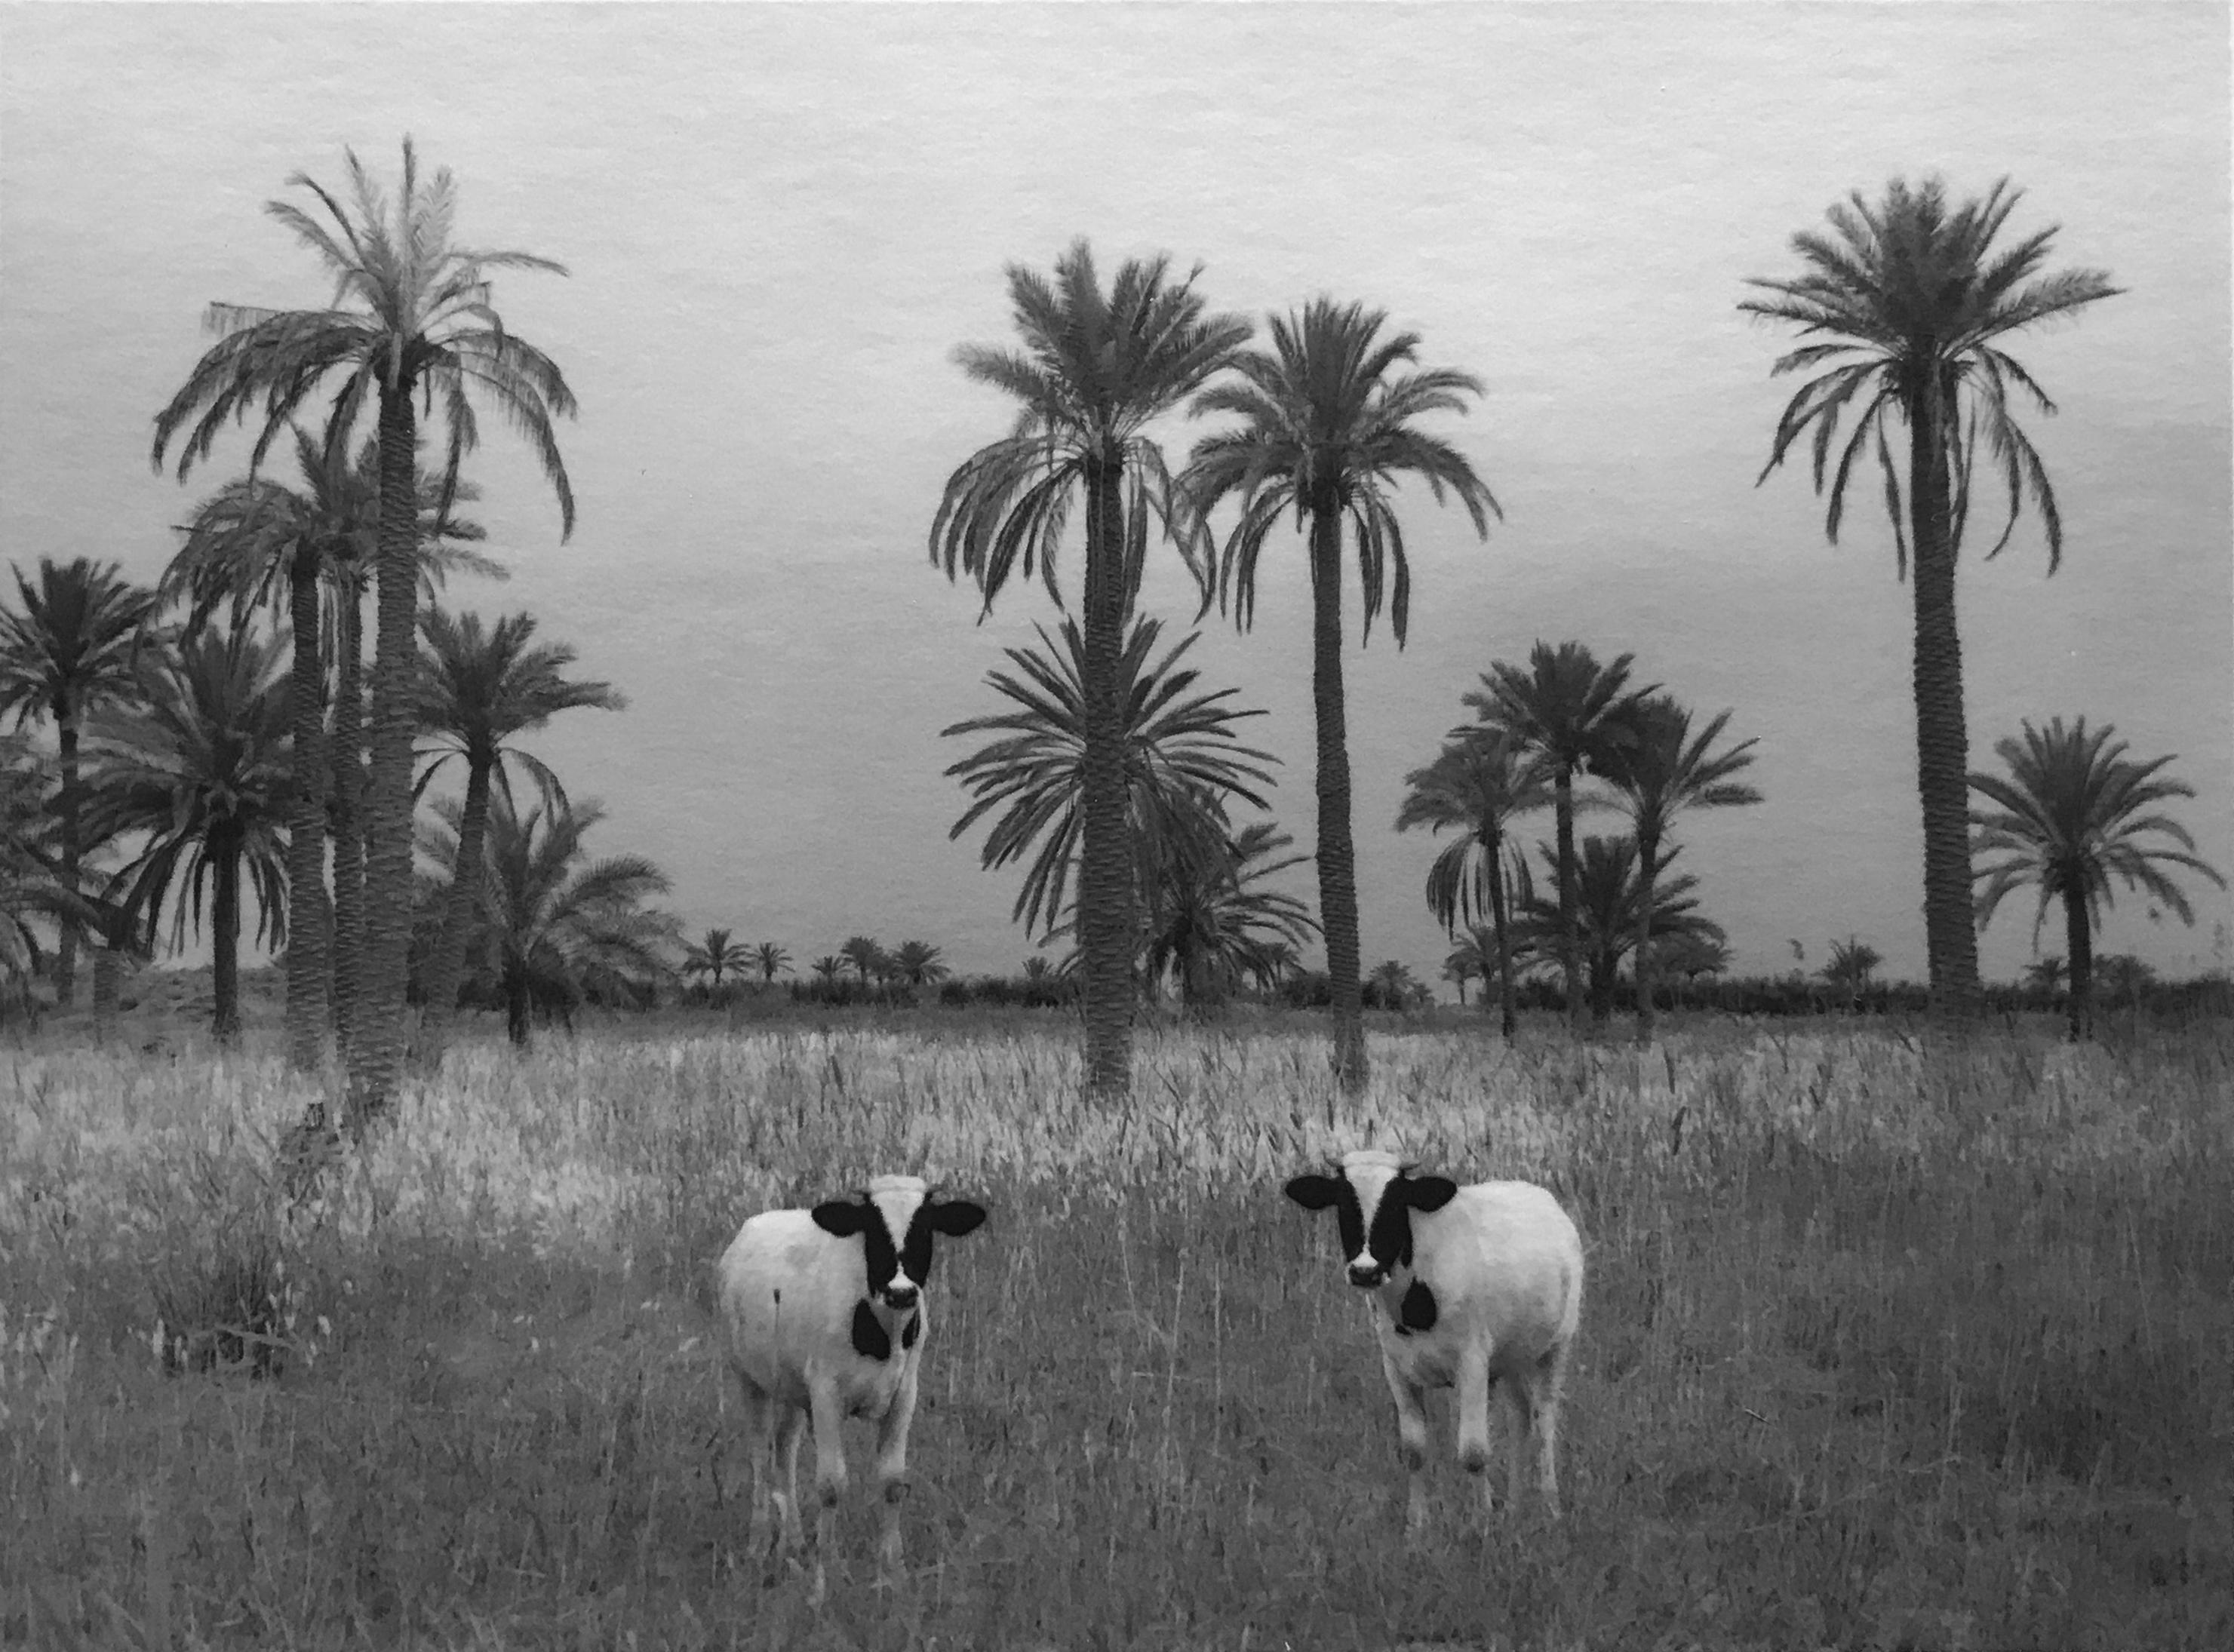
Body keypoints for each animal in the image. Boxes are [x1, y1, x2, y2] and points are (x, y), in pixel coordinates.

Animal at [714, 1178, 987, 1589]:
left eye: (925, 1228)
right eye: (873, 1228)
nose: (901, 1291)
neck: (884, 1330)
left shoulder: (904, 1394)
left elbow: (893, 1481)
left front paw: (893, 1571)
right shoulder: (826, 1393)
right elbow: (831, 1485)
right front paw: (827, 1571)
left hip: (792, 1388)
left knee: (785, 1449)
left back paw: (794, 1541)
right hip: (749, 1378)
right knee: (761, 1455)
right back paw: (759, 1545)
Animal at [1286, 1152, 1581, 1527]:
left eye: (1395, 1201)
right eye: (1342, 1202)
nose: (1365, 1271)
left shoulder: (1472, 1362)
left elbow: (1473, 1452)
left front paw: (1482, 1523)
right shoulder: (1396, 1366)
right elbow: (1414, 1450)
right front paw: (1417, 1526)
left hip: (1556, 1347)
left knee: (1544, 1421)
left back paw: (1551, 1506)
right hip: (1512, 1355)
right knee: (1521, 1415)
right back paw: (1515, 1508)